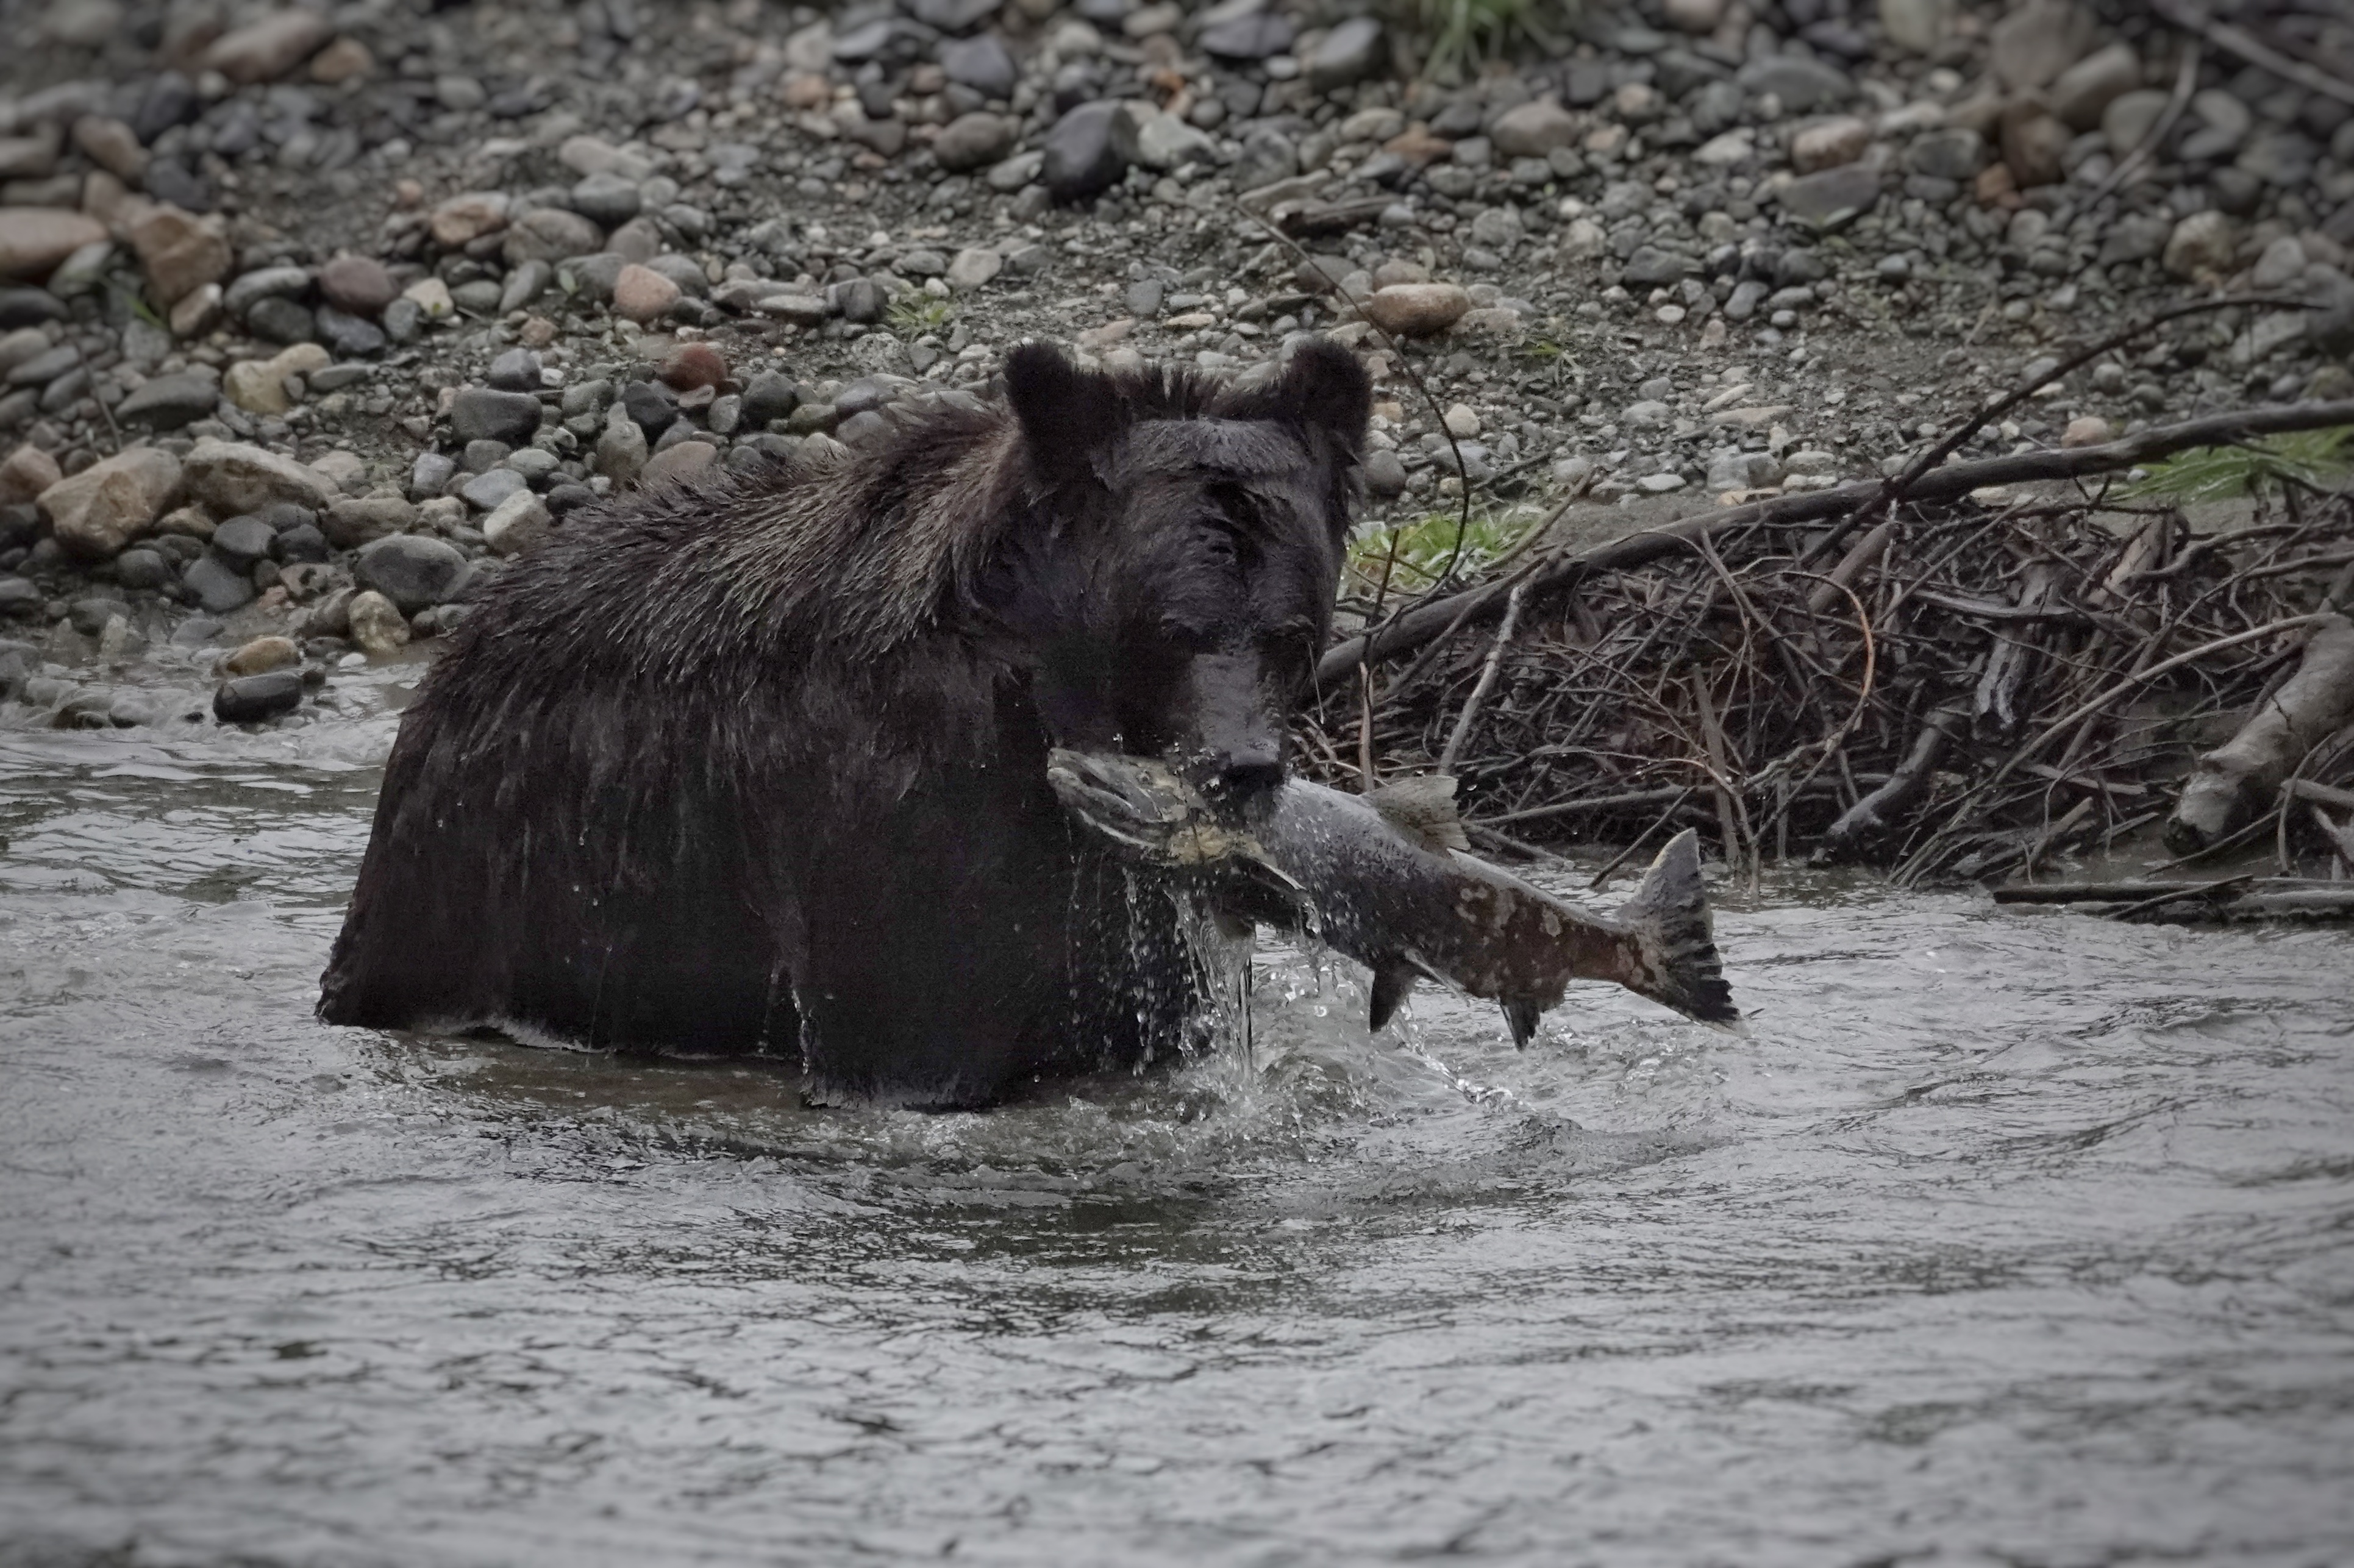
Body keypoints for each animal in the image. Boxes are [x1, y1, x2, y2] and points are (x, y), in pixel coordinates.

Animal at [319, 340, 1373, 1108]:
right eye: (1169, 630)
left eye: (1291, 633)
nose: (1241, 765)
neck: (1038, 718)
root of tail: (471, 627)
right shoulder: (894, 821)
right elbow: (908, 1030)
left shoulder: (1114, 909)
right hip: (475, 873)